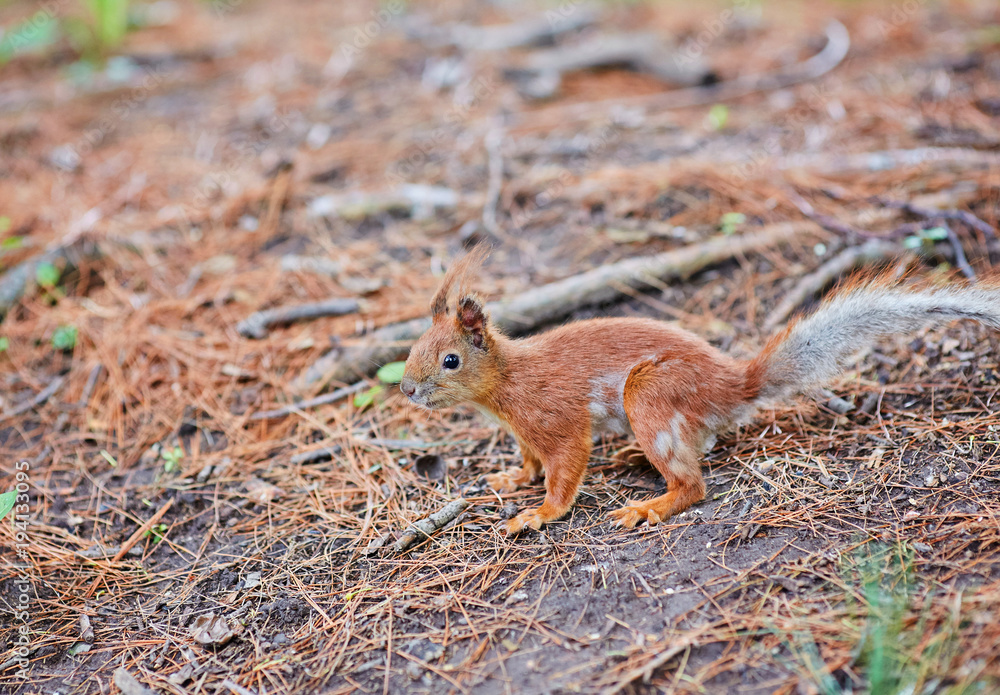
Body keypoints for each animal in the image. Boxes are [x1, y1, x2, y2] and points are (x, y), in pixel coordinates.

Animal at [400, 248, 1000, 534]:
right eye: (414, 345)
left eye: (451, 360)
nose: (406, 389)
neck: (505, 383)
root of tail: (731, 385)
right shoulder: (523, 433)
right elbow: (528, 462)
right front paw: (510, 478)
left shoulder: (556, 419)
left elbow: (563, 471)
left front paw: (539, 514)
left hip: (649, 395)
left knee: (692, 485)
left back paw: (649, 507)